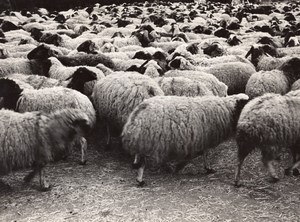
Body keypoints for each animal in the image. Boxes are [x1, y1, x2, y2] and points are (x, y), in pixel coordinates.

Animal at [120, 93, 250, 186]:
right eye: (245, 104)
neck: (227, 110)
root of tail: (139, 111)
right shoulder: (202, 137)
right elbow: (201, 153)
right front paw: (181, 166)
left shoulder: (203, 138)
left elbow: (204, 153)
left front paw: (207, 168)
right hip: (150, 140)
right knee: (143, 162)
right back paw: (140, 180)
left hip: (143, 139)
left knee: (138, 154)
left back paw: (137, 164)